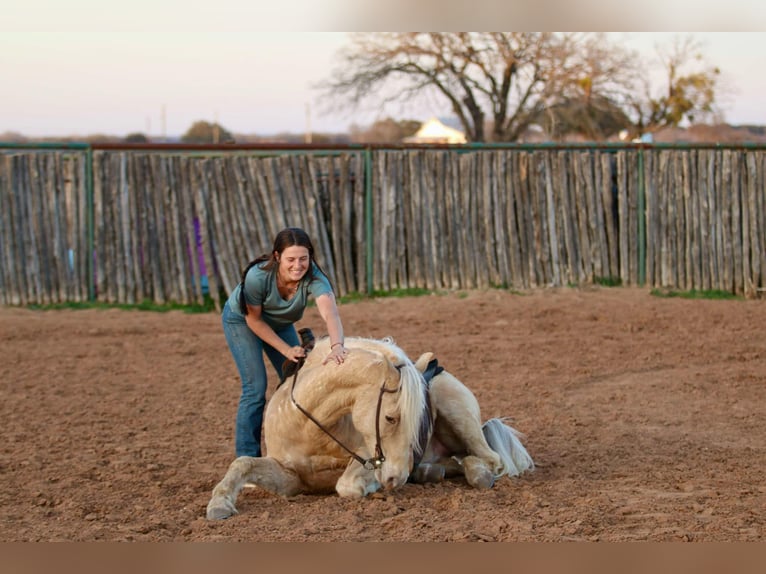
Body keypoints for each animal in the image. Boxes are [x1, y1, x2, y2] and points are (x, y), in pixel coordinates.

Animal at [206, 336, 533, 520]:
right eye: (390, 418)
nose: (396, 478)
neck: (310, 427)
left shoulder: (366, 458)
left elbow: (347, 485)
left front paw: (371, 487)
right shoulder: (291, 479)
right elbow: (243, 463)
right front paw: (219, 504)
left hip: (458, 415)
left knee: (488, 460)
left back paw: (476, 474)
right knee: (454, 461)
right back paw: (429, 471)